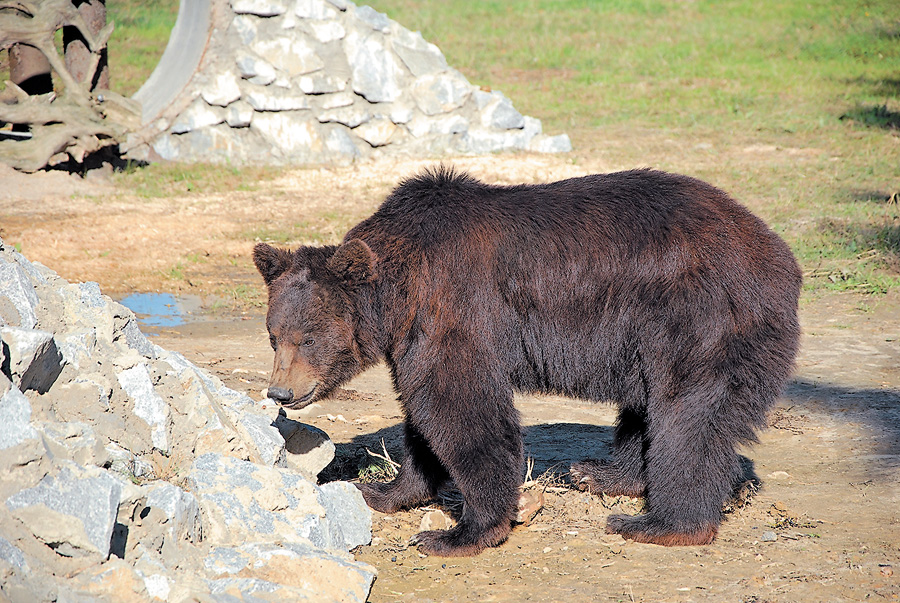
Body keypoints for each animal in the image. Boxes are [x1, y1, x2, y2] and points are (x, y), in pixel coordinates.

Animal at [253, 165, 800, 556]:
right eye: (274, 335)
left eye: (308, 337)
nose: (280, 391)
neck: (399, 294)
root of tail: (780, 256)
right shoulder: (416, 336)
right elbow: (422, 417)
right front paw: (386, 491)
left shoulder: (453, 309)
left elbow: (460, 409)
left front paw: (460, 532)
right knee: (645, 407)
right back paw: (600, 474)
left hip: (698, 318)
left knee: (687, 415)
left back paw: (659, 522)